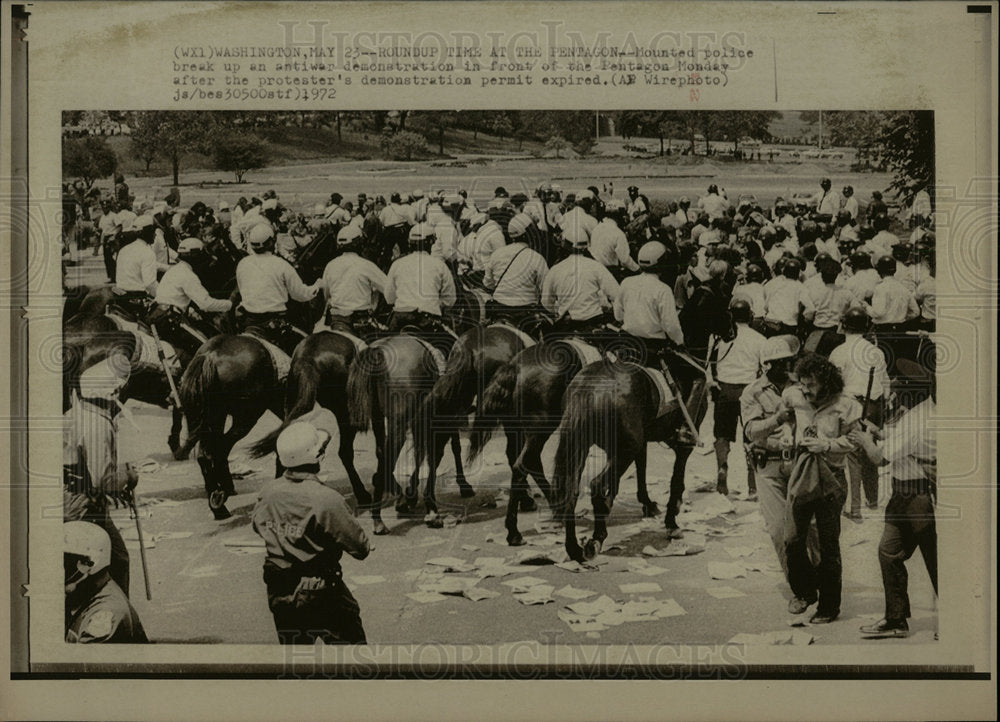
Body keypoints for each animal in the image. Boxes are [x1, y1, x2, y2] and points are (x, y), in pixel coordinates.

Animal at [552, 356, 708, 564]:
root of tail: (590, 385)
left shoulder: (639, 443)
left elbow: (641, 471)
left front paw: (648, 505)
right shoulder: (683, 446)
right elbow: (676, 481)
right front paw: (671, 522)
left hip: (585, 445)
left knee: (571, 491)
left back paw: (574, 548)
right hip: (625, 450)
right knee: (597, 485)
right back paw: (597, 539)